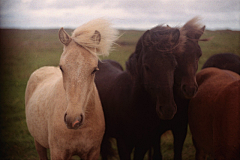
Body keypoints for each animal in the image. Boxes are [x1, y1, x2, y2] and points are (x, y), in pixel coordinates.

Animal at [25, 19, 118, 160]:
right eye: (61, 68)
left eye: (94, 70)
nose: (73, 120)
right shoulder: (57, 153)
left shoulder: (93, 152)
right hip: (38, 142)